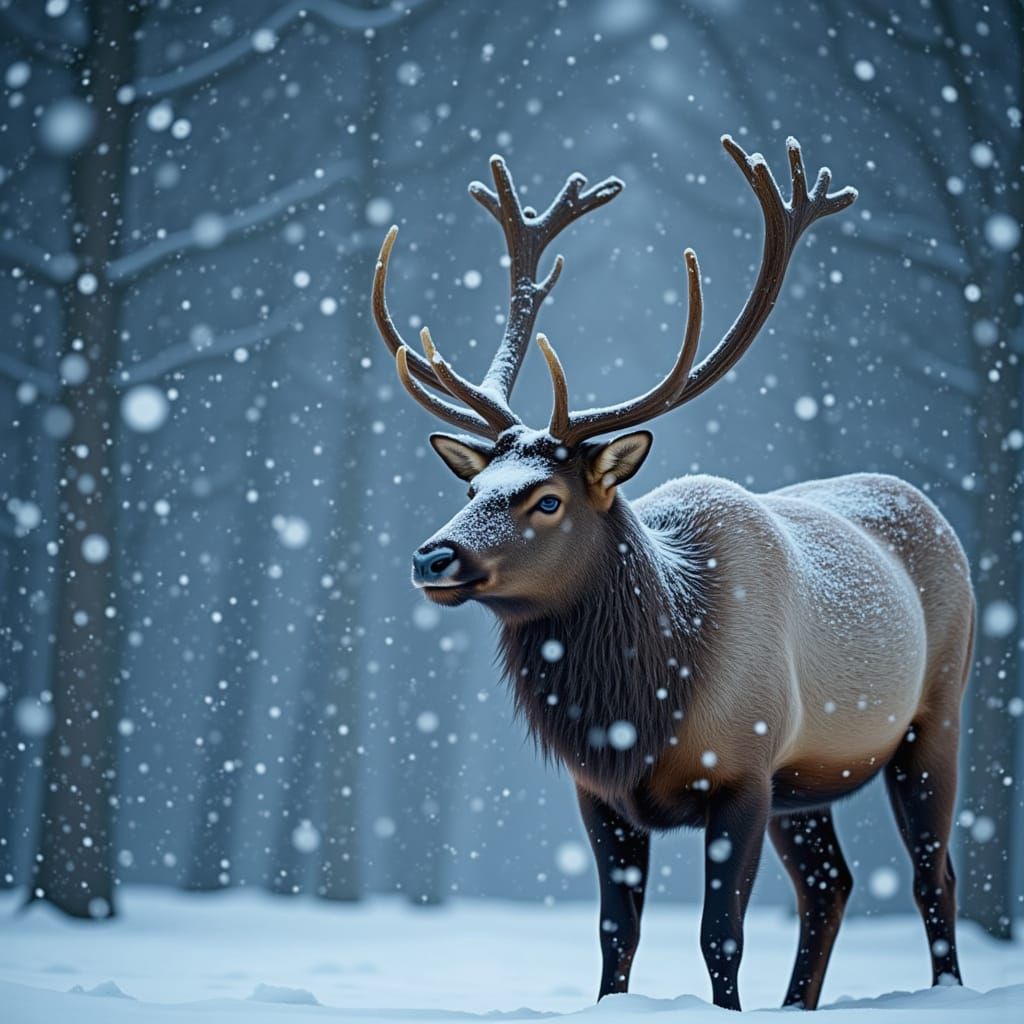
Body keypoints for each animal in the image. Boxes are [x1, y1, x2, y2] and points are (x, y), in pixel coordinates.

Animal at [370, 133, 974, 1012]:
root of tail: (925, 506)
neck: (644, 709)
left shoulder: (745, 769)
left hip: (937, 714)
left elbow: (720, 932)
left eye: (546, 499)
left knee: (934, 874)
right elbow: (614, 931)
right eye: (474, 489)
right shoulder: (598, 792)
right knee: (831, 884)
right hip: (807, 780)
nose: (432, 556)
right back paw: (796, 1005)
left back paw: (947, 990)